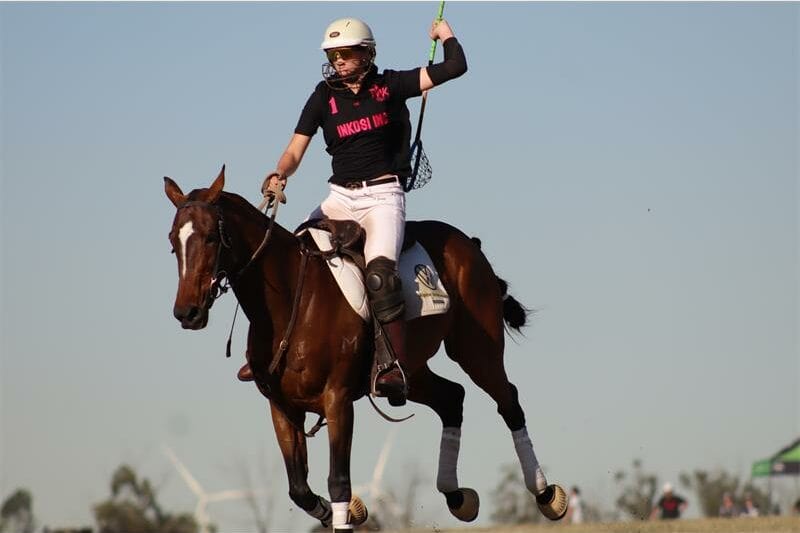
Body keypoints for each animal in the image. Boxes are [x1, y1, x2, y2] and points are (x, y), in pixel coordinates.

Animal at [164, 166, 567, 531]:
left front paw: (345, 512)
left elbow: (338, 482)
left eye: (210, 238)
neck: (290, 302)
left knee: (508, 400)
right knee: (452, 396)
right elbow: (299, 488)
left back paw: (546, 495)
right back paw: (457, 496)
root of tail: (468, 243)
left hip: (476, 349)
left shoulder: (338, 398)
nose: (187, 313)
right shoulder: (282, 406)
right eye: (172, 241)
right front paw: (346, 513)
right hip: (412, 371)